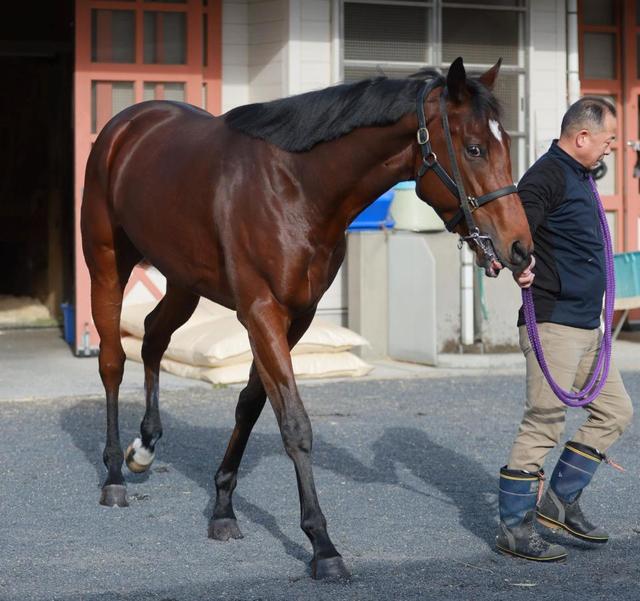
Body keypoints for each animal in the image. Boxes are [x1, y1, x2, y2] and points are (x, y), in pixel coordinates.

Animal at [81, 58, 528, 580]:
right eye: (474, 149)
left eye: (506, 146)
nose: (520, 246)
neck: (295, 186)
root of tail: (127, 124)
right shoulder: (261, 312)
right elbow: (294, 423)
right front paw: (322, 545)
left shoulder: (297, 316)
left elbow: (251, 405)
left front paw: (223, 508)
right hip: (107, 266)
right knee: (113, 361)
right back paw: (114, 474)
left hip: (183, 280)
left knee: (153, 337)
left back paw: (145, 447)